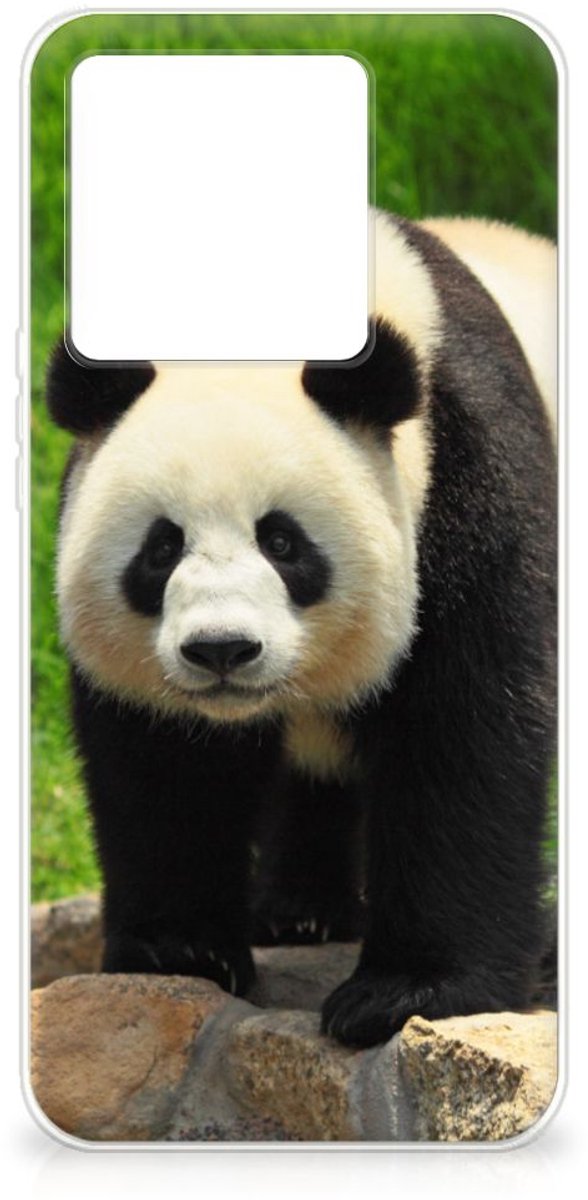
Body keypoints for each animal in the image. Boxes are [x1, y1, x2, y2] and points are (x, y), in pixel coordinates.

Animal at [46, 210, 557, 1049]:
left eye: (283, 542)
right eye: (161, 548)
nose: (221, 650)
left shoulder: (472, 482)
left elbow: (465, 733)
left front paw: (405, 993)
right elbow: (164, 762)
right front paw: (180, 950)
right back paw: (300, 911)